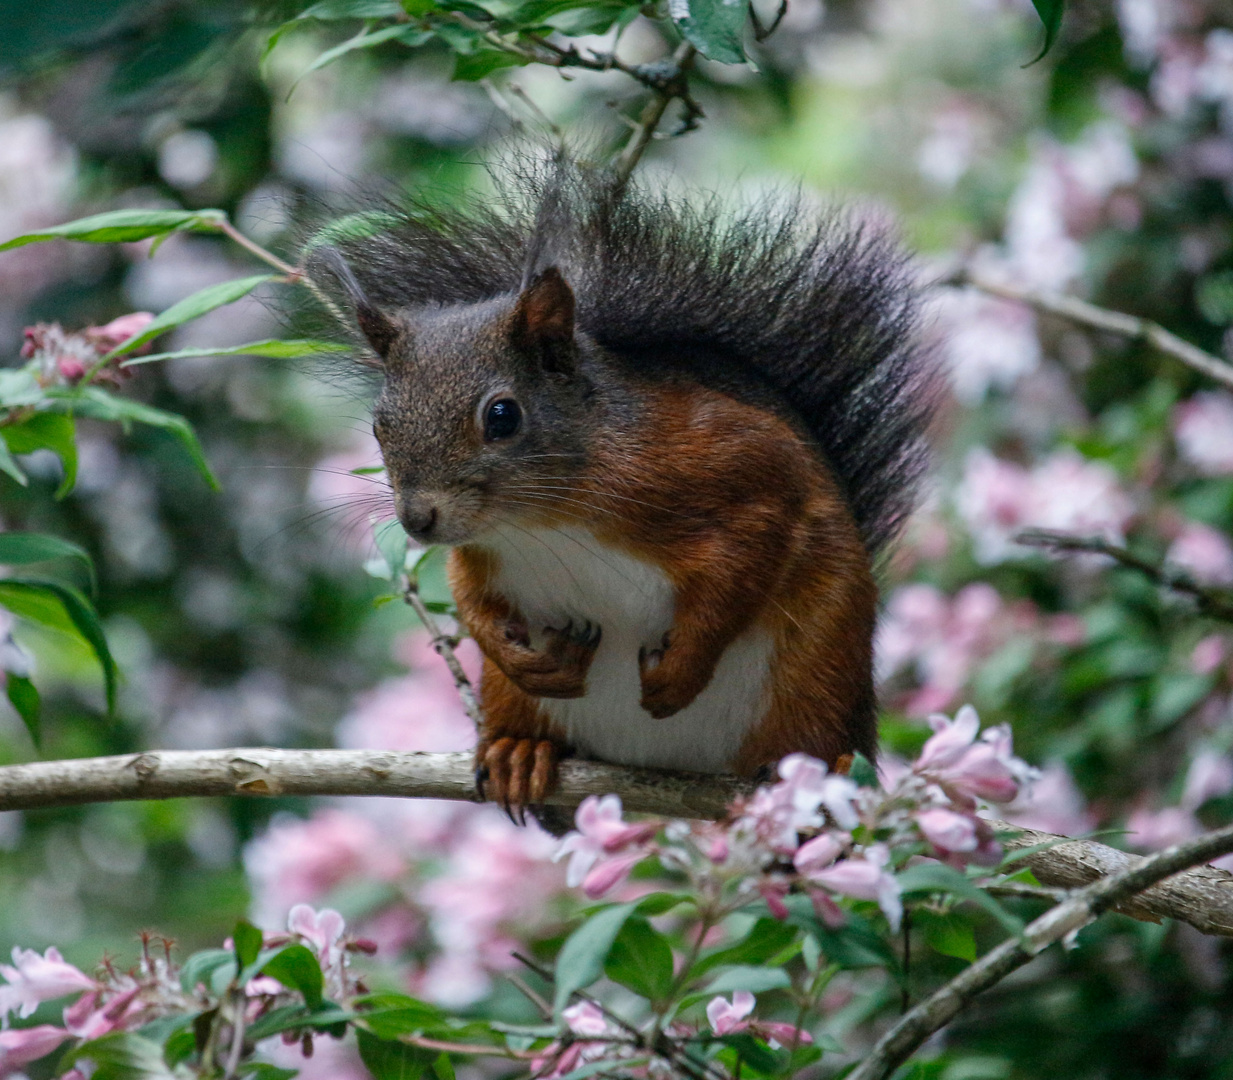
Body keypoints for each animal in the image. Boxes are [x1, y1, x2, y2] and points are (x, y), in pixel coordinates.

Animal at [315, 157, 932, 818]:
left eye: (502, 415)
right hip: (515, 701)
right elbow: (469, 598)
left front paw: (681, 671)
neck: (540, 521)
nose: (417, 520)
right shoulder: (479, 553)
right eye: (379, 425)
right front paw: (511, 653)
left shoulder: (748, 472)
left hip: (820, 664)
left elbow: (746, 558)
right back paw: (520, 754)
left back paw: (826, 771)